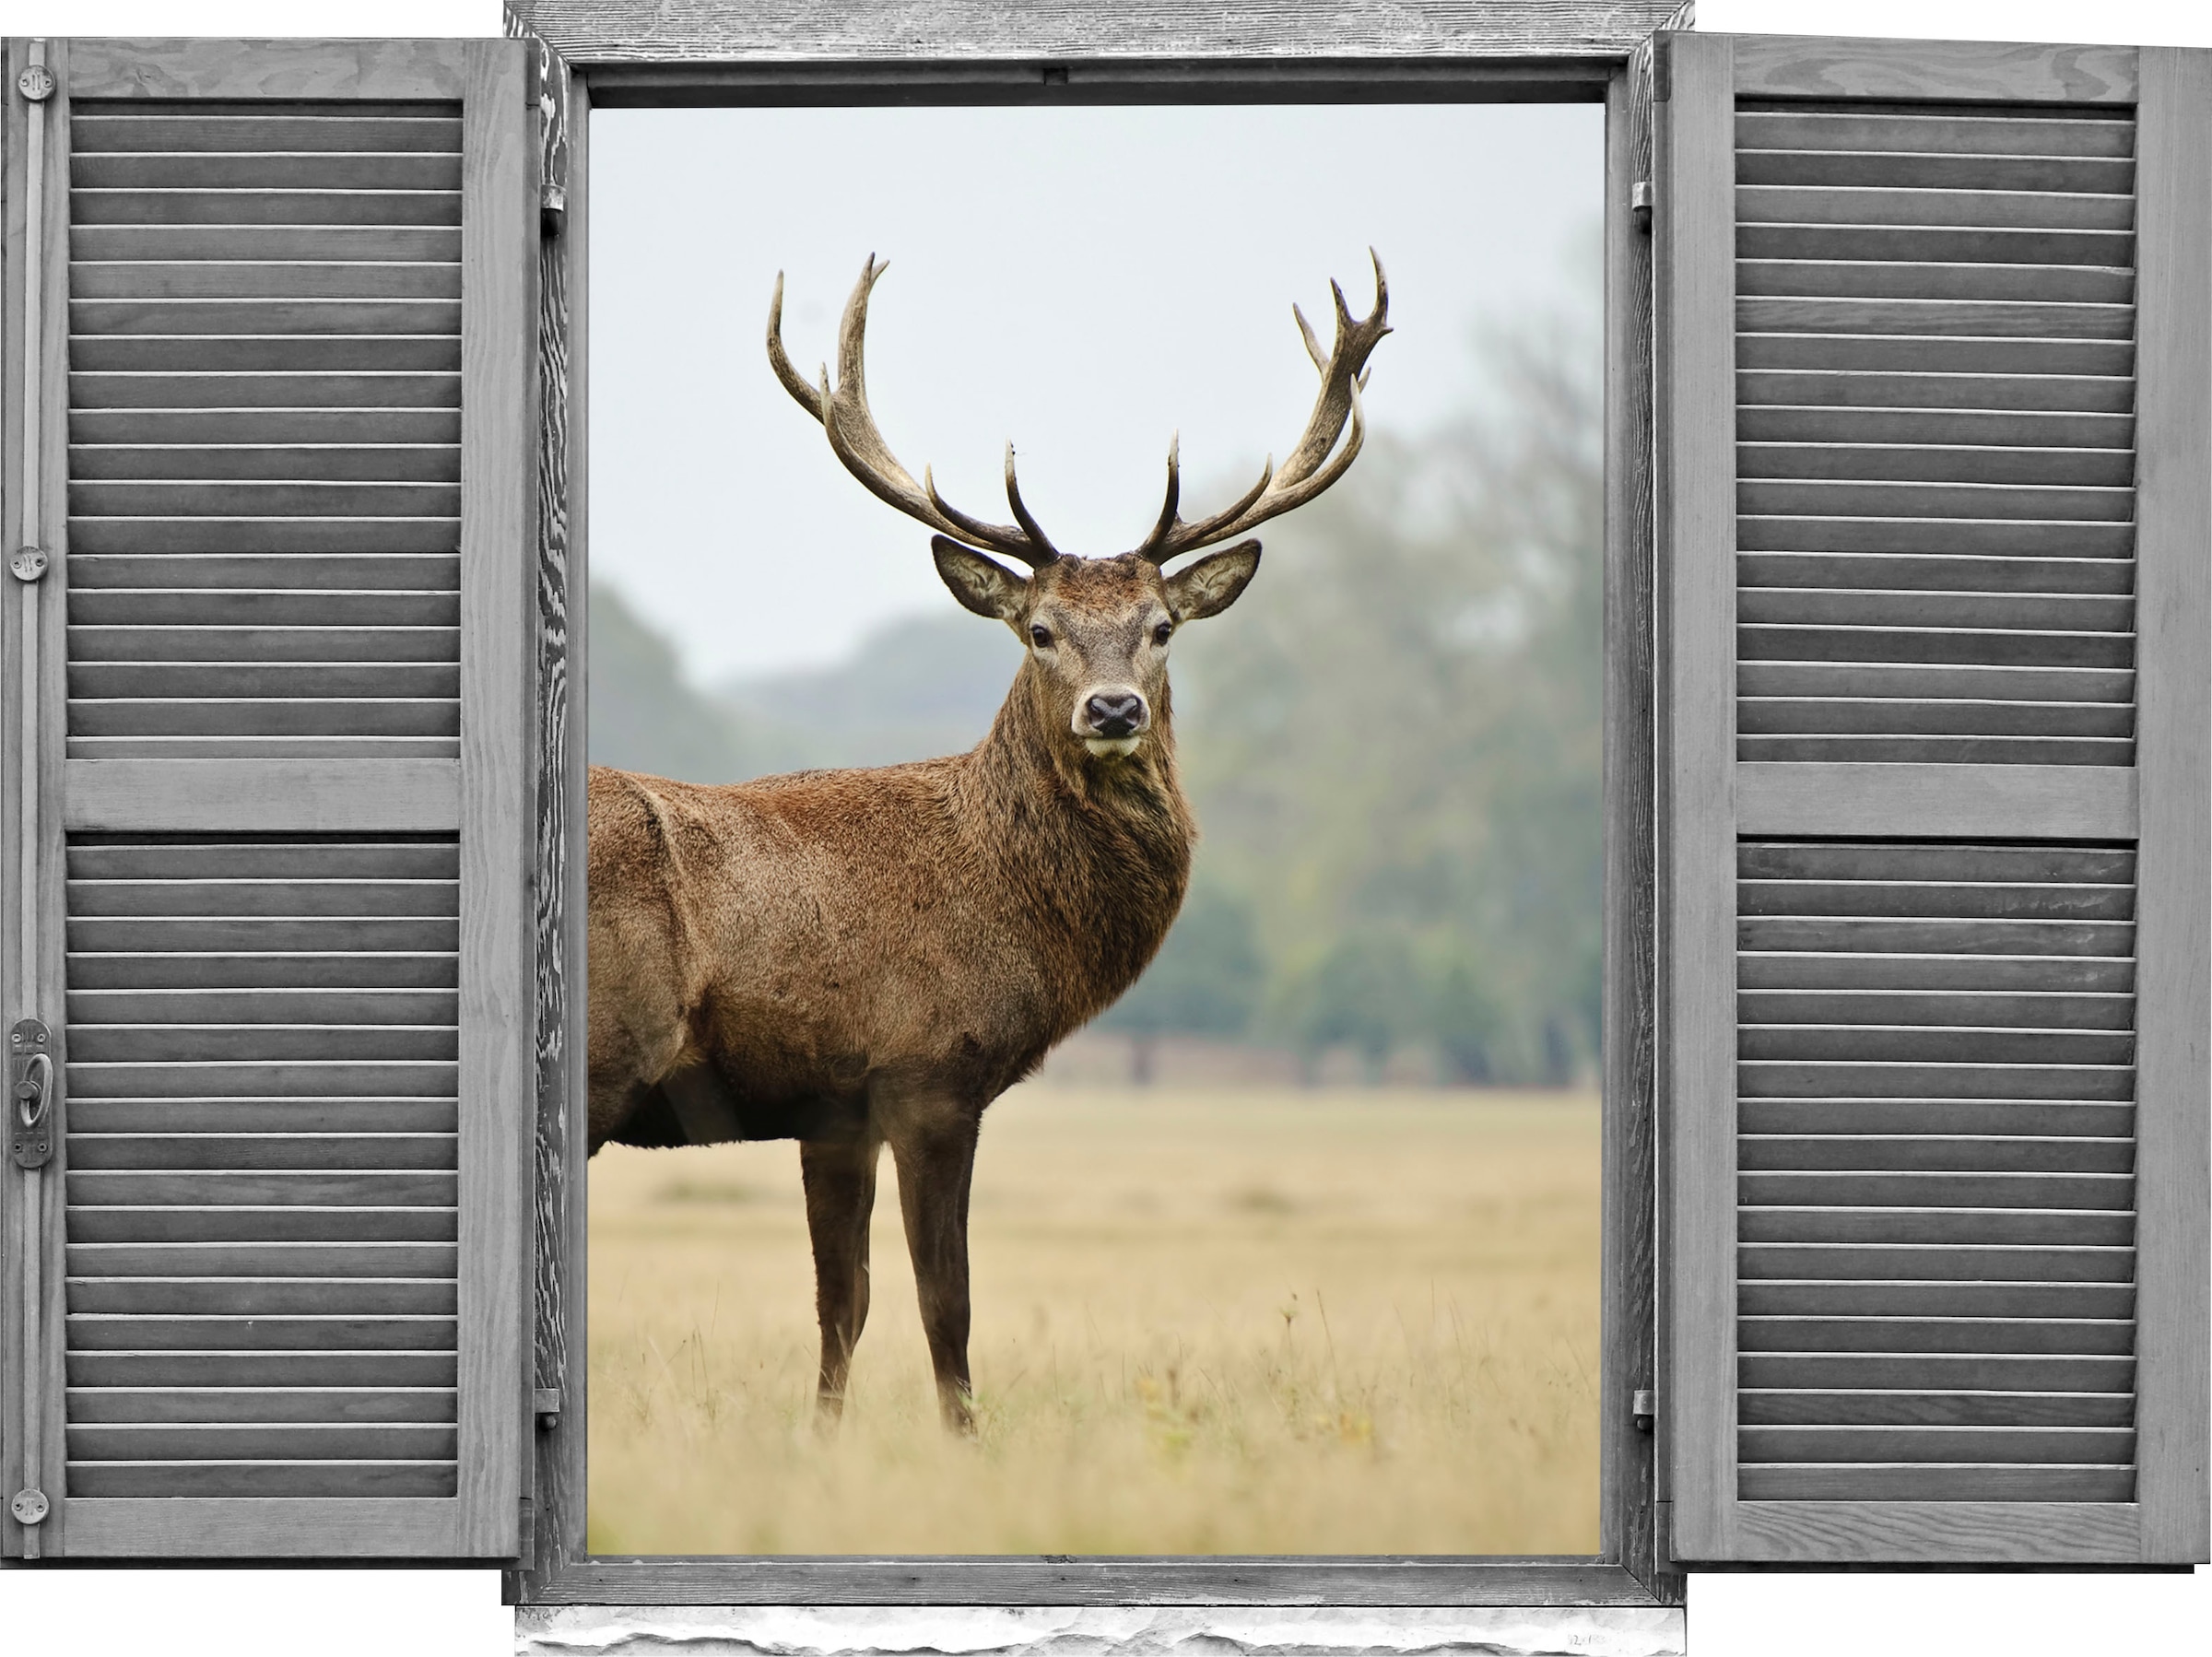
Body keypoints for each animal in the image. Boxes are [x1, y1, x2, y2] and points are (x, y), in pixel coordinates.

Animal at [586, 253, 1390, 1432]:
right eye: (1039, 630)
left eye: (1161, 627)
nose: (1113, 709)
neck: (1003, 894)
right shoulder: (929, 1068)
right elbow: (944, 1305)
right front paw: (965, 1442)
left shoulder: (834, 1109)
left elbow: (843, 1305)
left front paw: (823, 1445)